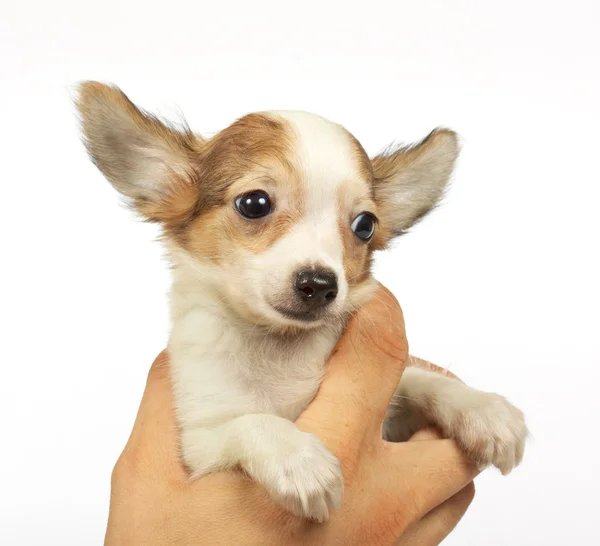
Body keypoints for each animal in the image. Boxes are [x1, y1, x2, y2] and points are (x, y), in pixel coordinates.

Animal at [77, 81, 528, 520]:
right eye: (254, 203)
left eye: (365, 225)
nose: (320, 283)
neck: (280, 349)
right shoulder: (201, 442)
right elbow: (252, 422)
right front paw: (298, 460)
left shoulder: (390, 417)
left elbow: (418, 379)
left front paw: (482, 408)